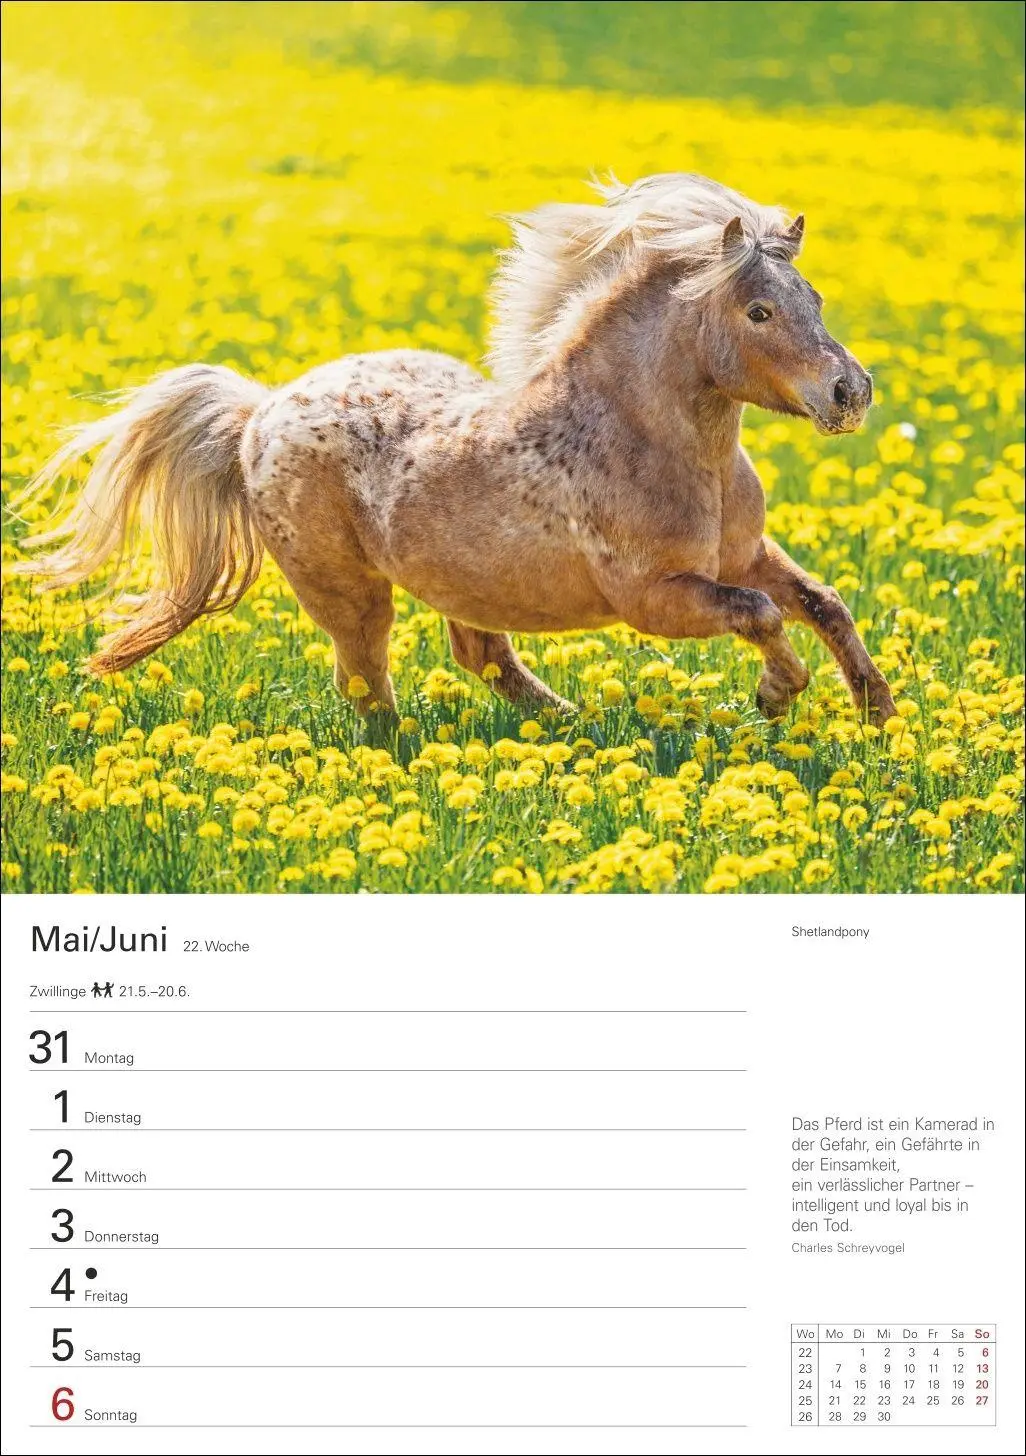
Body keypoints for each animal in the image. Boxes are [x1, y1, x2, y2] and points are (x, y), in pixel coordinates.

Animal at [18, 172, 897, 727]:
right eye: (757, 311)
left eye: (814, 298)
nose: (850, 392)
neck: (665, 446)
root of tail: (258, 412)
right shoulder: (654, 600)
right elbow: (760, 614)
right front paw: (778, 695)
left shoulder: (743, 556)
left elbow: (821, 601)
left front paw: (880, 713)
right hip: (347, 594)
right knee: (367, 684)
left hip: (463, 583)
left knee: (478, 655)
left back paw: (570, 724)